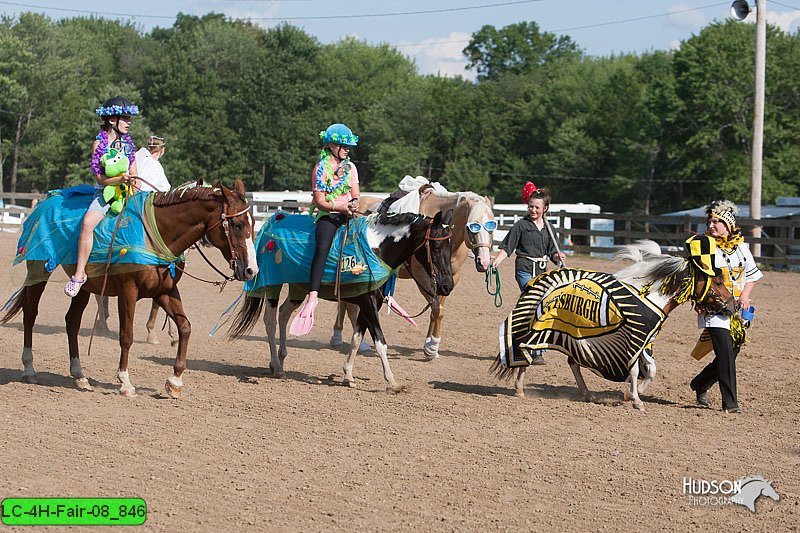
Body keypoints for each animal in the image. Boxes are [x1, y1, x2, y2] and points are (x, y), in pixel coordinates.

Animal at [0, 181, 256, 396]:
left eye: (252, 223)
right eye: (236, 224)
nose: (251, 270)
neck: (155, 235)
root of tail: (45, 203)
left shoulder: (165, 292)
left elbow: (185, 328)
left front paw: (174, 381)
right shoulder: (128, 292)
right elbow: (127, 336)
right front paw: (125, 382)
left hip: (84, 286)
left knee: (72, 321)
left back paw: (80, 375)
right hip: (38, 271)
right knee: (30, 315)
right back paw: (29, 369)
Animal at [231, 210, 456, 392]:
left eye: (450, 247)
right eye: (436, 247)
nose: (447, 285)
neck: (375, 250)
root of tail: (274, 220)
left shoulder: (372, 302)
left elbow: (357, 337)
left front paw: (348, 374)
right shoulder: (368, 301)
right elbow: (380, 342)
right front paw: (392, 382)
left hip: (297, 289)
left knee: (284, 314)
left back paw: (280, 359)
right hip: (272, 284)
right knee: (270, 321)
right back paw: (277, 366)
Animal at [330, 189, 494, 360]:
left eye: (491, 227)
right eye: (472, 227)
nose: (484, 262)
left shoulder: (450, 278)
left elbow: (438, 310)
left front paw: (432, 345)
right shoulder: (422, 276)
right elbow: (436, 307)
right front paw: (431, 347)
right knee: (349, 306)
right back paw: (349, 341)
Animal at [494, 239, 736, 410]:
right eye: (717, 281)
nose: (733, 306)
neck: (650, 296)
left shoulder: (646, 341)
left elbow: (650, 370)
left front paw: (631, 394)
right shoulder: (633, 339)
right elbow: (635, 369)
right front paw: (636, 399)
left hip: (574, 336)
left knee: (572, 362)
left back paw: (587, 394)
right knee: (527, 350)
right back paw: (520, 388)